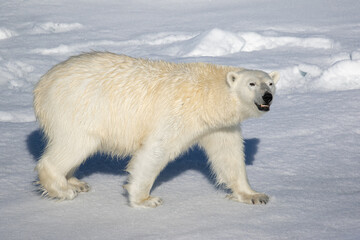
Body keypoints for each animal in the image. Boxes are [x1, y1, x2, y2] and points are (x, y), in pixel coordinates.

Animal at [33, 52, 280, 208]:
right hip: (79, 109)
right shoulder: (178, 115)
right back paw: (63, 189)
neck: (208, 94)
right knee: (75, 145)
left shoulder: (219, 126)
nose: (267, 97)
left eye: (270, 83)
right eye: (251, 84)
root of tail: (42, 84)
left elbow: (229, 156)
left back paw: (76, 182)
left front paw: (254, 195)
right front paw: (145, 199)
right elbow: (156, 151)